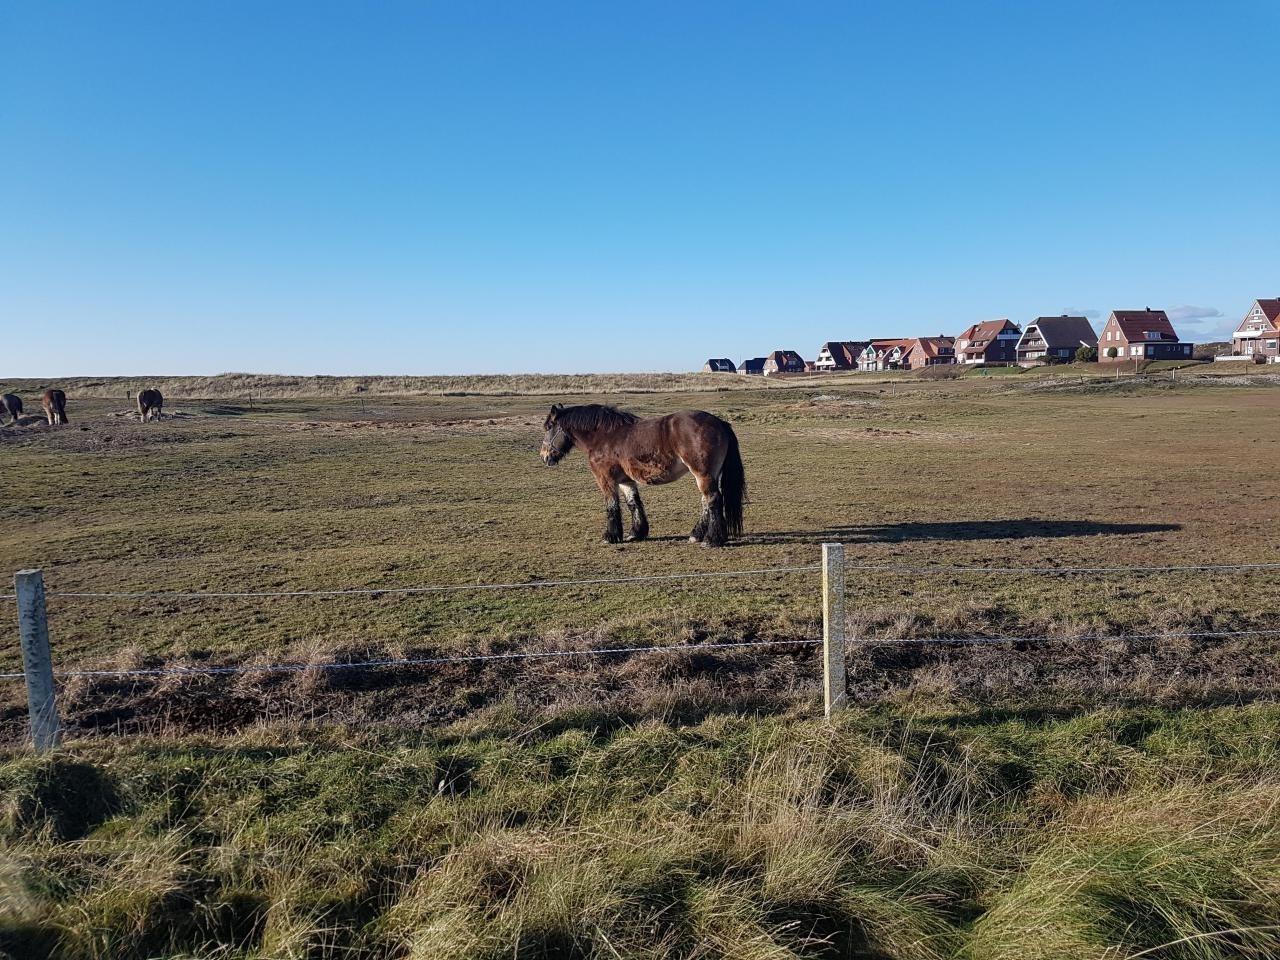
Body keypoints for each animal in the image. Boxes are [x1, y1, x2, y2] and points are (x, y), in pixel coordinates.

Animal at [540, 404, 747, 547]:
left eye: (549, 426)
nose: (544, 456)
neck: (603, 436)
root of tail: (719, 422)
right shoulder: (625, 480)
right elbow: (633, 503)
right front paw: (636, 533)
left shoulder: (605, 479)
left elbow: (611, 505)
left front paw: (610, 536)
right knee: (706, 502)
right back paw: (696, 535)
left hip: (703, 474)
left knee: (712, 500)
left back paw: (711, 539)